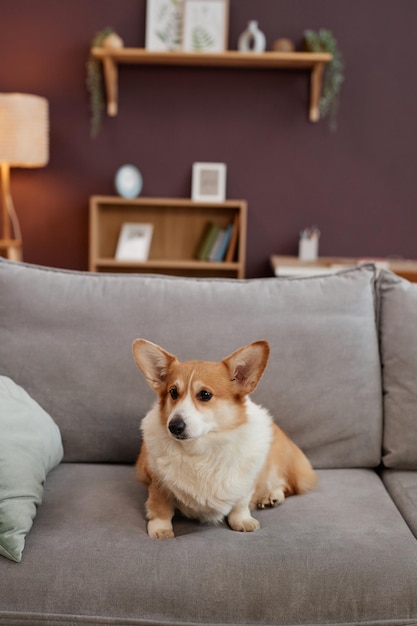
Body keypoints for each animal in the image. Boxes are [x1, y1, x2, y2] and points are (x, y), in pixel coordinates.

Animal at [132, 336, 316, 536]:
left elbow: (241, 502)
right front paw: (160, 529)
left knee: (285, 485)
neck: (201, 449)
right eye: (173, 392)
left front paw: (242, 520)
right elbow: (160, 507)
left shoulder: (248, 480)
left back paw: (271, 496)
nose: (173, 426)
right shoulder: (157, 482)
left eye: (205, 394)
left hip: (276, 464)